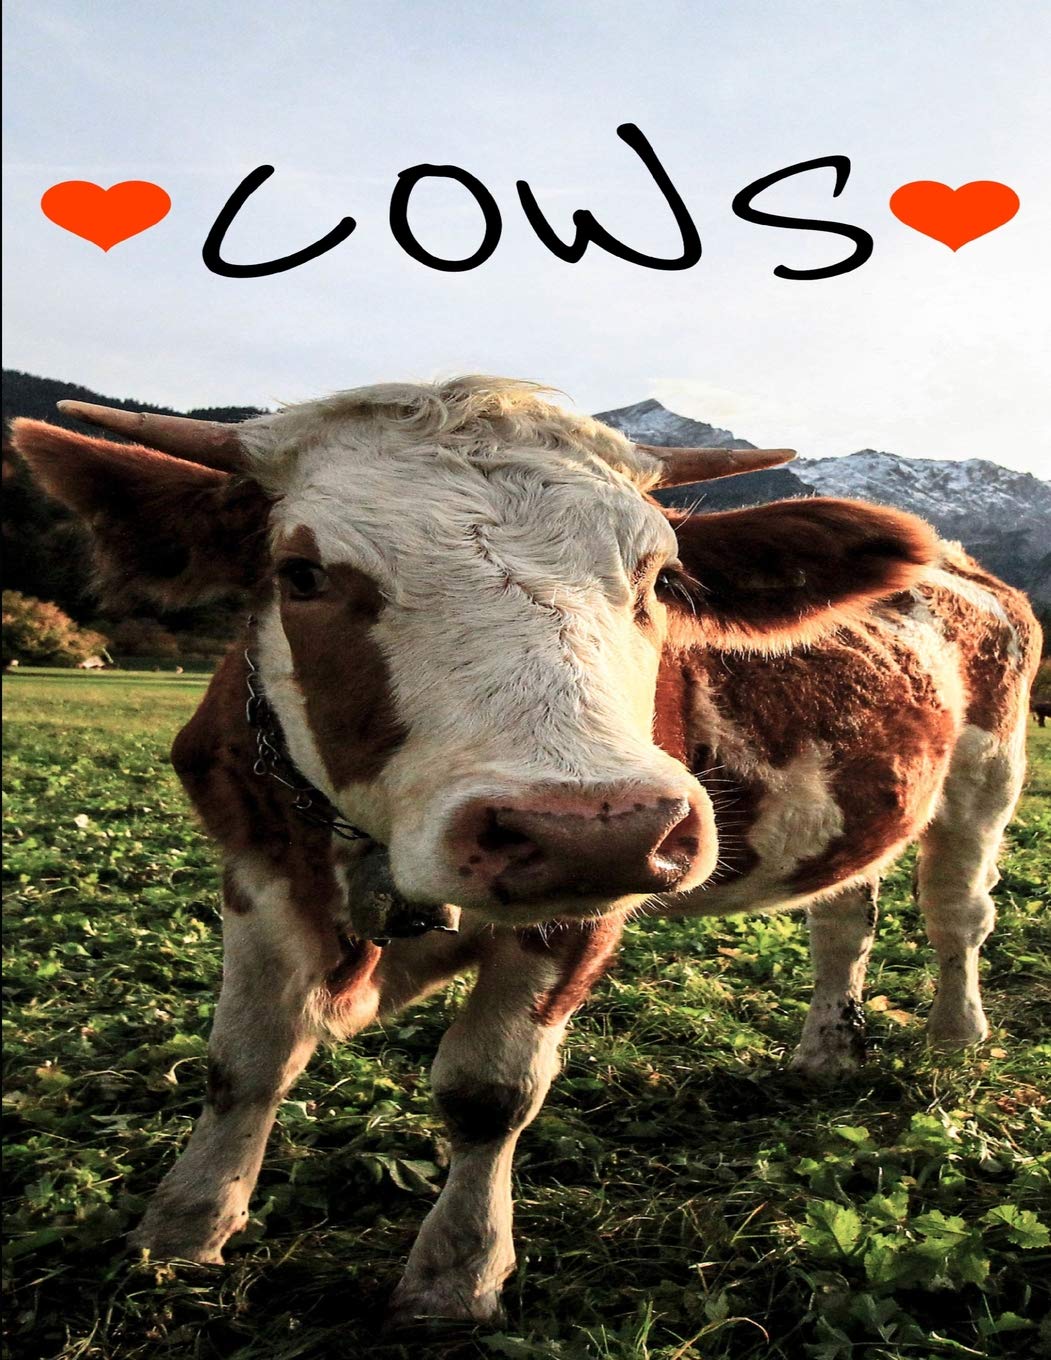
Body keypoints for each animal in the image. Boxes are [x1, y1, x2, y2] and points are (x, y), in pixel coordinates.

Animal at [11, 378, 1040, 1329]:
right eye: (302, 574)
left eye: (662, 580)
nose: (590, 826)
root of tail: (964, 569)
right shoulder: (256, 861)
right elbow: (245, 1060)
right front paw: (184, 1228)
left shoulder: (584, 901)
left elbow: (487, 1090)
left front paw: (456, 1273)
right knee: (843, 914)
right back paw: (828, 1047)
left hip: (987, 773)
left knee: (956, 914)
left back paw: (955, 1034)